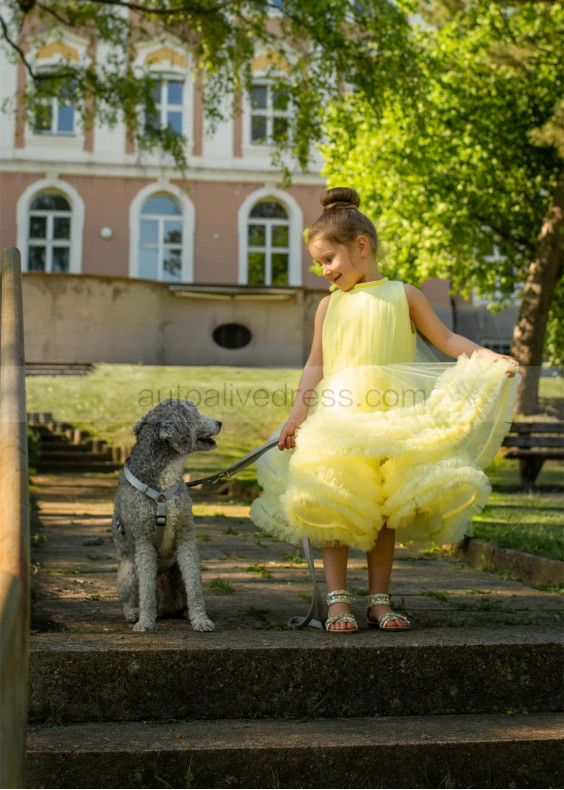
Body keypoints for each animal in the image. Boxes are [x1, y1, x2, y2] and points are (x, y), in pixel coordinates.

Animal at [111, 400, 221, 636]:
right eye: (195, 413)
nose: (220, 422)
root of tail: (165, 607)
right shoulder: (143, 541)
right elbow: (146, 590)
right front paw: (144, 623)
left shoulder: (186, 536)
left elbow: (194, 587)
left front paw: (201, 620)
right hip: (128, 570)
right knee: (131, 598)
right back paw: (135, 613)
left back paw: (185, 612)